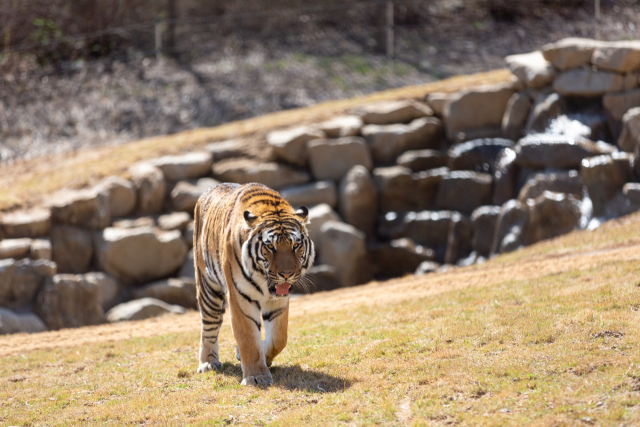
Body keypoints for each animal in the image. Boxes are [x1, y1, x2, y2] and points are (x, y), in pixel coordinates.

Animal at [194, 182, 316, 386]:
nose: (286, 274)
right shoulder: (240, 297)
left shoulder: (277, 302)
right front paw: (256, 377)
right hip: (209, 287)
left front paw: (263, 358)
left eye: (295, 245)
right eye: (270, 246)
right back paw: (208, 363)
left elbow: (279, 338)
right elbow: (248, 338)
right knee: (208, 326)